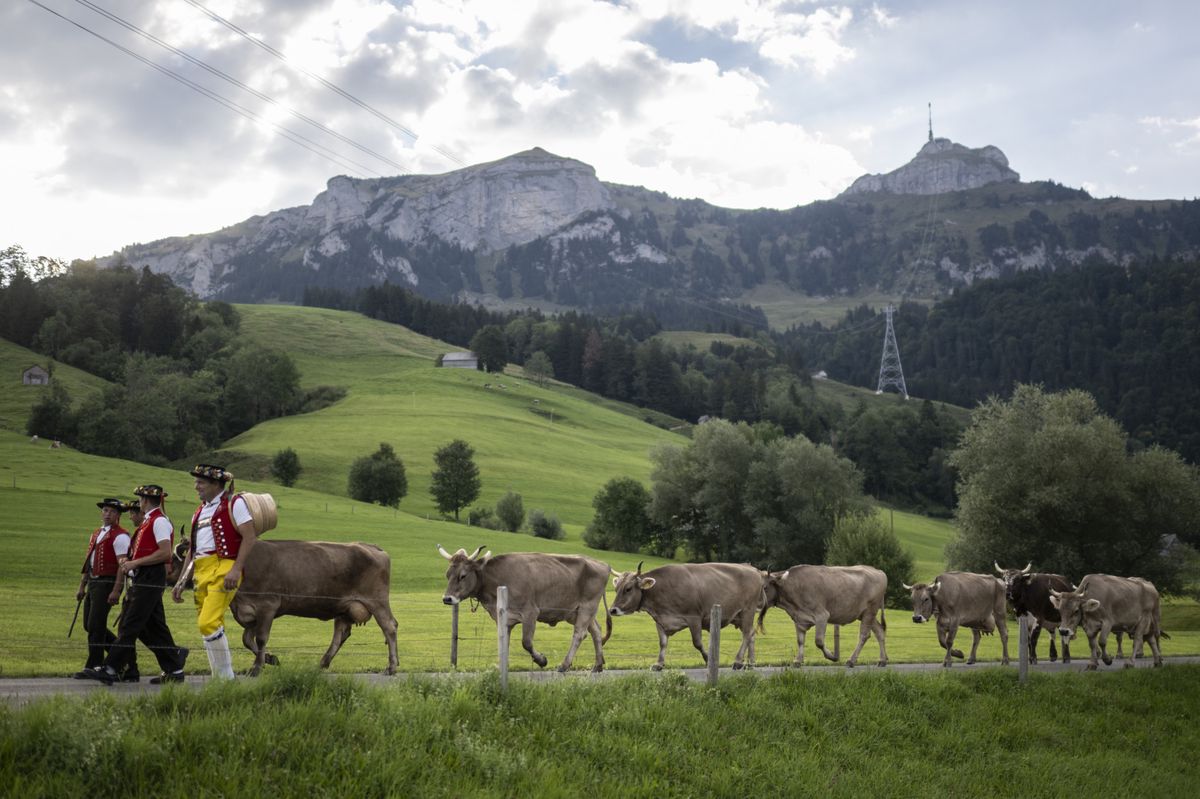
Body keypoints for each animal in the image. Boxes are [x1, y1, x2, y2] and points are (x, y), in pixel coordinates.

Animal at [230, 540, 399, 676]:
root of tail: (370, 546)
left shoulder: (267, 606)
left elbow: (261, 638)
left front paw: (256, 667)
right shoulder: (250, 612)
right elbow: (246, 639)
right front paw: (270, 658)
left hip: (377, 601)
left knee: (389, 626)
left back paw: (391, 667)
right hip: (345, 608)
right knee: (340, 634)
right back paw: (323, 663)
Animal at [438, 545, 611, 672]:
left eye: (462, 575)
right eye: (447, 575)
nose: (447, 599)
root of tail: (602, 564)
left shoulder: (530, 612)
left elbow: (526, 642)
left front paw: (541, 660)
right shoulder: (503, 618)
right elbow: (503, 643)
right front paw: (502, 666)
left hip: (587, 606)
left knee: (579, 633)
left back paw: (564, 665)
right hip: (575, 611)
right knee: (596, 630)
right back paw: (597, 665)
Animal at [610, 562, 763, 671]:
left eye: (628, 589)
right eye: (616, 589)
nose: (612, 610)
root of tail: (752, 568)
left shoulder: (694, 617)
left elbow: (697, 643)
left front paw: (708, 659)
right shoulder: (660, 620)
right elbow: (663, 643)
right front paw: (659, 664)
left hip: (747, 611)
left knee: (747, 635)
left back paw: (737, 661)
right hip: (739, 616)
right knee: (751, 634)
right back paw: (751, 663)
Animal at [757, 565, 888, 668]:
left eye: (765, 587)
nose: (756, 602)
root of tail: (879, 571)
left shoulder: (822, 616)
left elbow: (819, 641)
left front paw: (832, 656)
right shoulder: (799, 619)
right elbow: (800, 641)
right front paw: (798, 661)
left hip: (870, 611)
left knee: (864, 635)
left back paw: (851, 660)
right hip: (865, 614)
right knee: (879, 631)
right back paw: (882, 660)